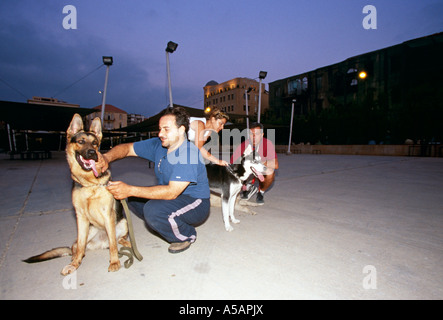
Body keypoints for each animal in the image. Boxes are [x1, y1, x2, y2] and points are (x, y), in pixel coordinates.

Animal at [23, 114, 130, 274]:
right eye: (81, 141)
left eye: (95, 143)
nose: (92, 153)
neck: (90, 184)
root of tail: (101, 243)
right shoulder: (80, 217)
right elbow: (80, 246)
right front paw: (75, 264)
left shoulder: (108, 214)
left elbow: (113, 245)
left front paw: (114, 262)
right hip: (89, 230)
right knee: (76, 246)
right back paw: (74, 259)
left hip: (122, 223)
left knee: (115, 241)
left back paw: (125, 243)